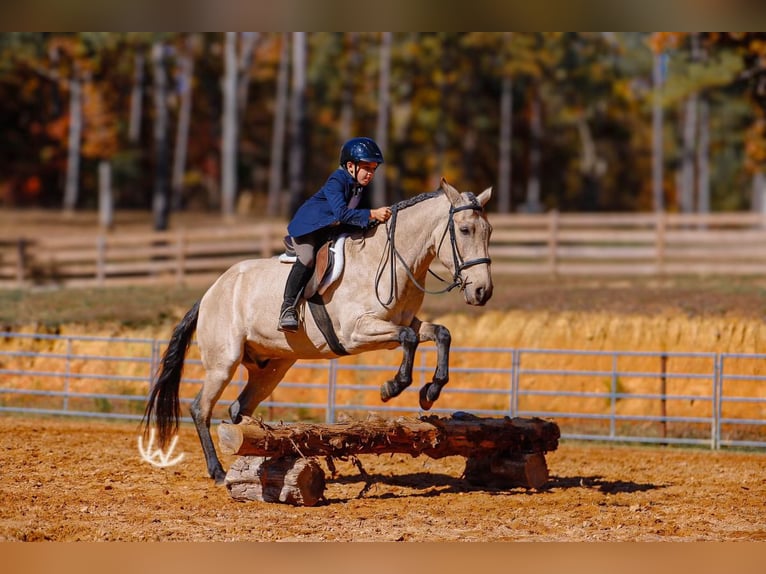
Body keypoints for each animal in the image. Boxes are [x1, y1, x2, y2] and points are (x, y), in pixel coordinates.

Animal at [142, 178, 493, 483]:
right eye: (464, 230)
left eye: (488, 231)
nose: (482, 292)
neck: (392, 260)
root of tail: (210, 293)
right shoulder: (358, 332)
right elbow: (408, 341)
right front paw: (391, 387)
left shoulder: (402, 322)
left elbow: (440, 334)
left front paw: (430, 393)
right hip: (223, 363)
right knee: (201, 408)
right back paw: (217, 471)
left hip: (271, 369)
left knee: (239, 409)